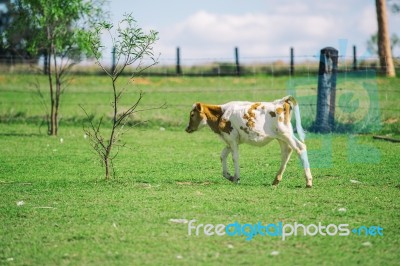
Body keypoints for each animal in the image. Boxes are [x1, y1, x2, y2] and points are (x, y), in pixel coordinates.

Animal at [184, 95, 312, 187]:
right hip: (281, 137)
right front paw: (228, 175)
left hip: (285, 133)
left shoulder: (232, 138)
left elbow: (234, 157)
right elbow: (223, 155)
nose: (187, 128)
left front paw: (236, 178)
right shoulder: (230, 141)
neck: (221, 114)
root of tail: (281, 102)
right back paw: (276, 180)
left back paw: (308, 182)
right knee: (287, 152)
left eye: (192, 114)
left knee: (300, 147)